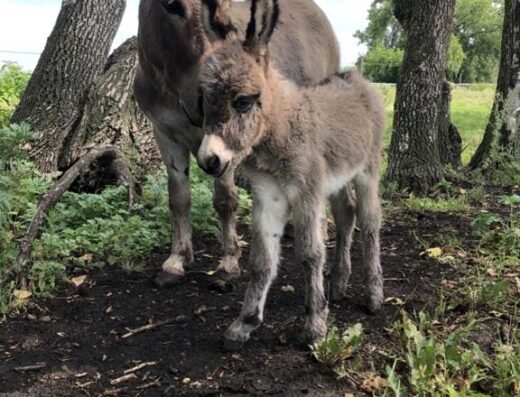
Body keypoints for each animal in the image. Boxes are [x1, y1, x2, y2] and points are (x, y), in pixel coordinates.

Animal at [197, 0, 384, 348]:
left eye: (243, 102)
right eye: (204, 100)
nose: (208, 161)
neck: (277, 132)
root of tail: (355, 76)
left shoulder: (306, 192)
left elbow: (310, 253)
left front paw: (315, 325)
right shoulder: (268, 196)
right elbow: (261, 260)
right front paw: (245, 323)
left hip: (368, 169)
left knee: (369, 221)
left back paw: (374, 296)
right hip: (335, 179)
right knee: (346, 213)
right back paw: (338, 285)